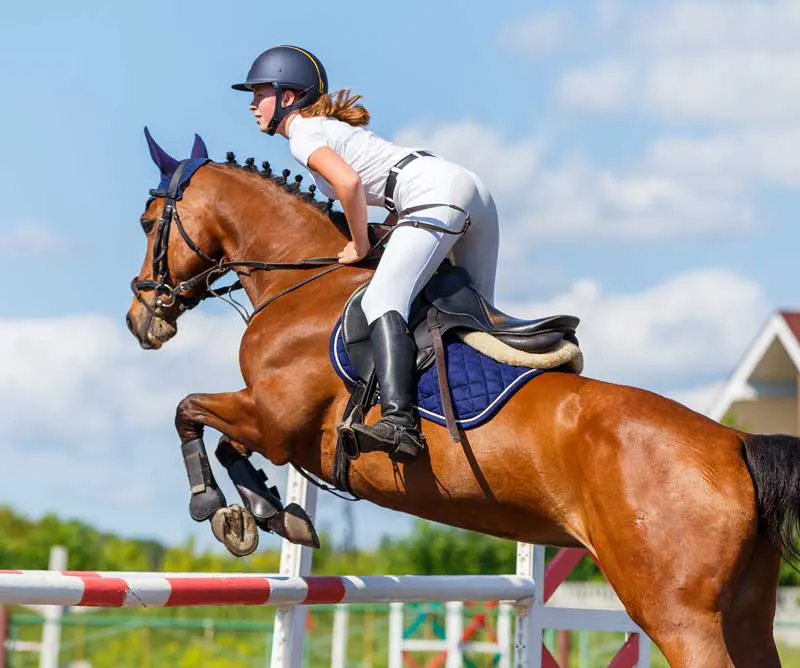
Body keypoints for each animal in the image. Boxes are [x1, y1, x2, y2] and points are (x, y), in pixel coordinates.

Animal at [126, 131, 796, 667]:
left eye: (148, 222)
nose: (142, 319)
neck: (304, 280)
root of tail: (736, 443)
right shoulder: (275, 427)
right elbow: (228, 442)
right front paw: (268, 512)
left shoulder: (275, 419)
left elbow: (189, 411)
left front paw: (219, 508)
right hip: (745, 615)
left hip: (677, 615)